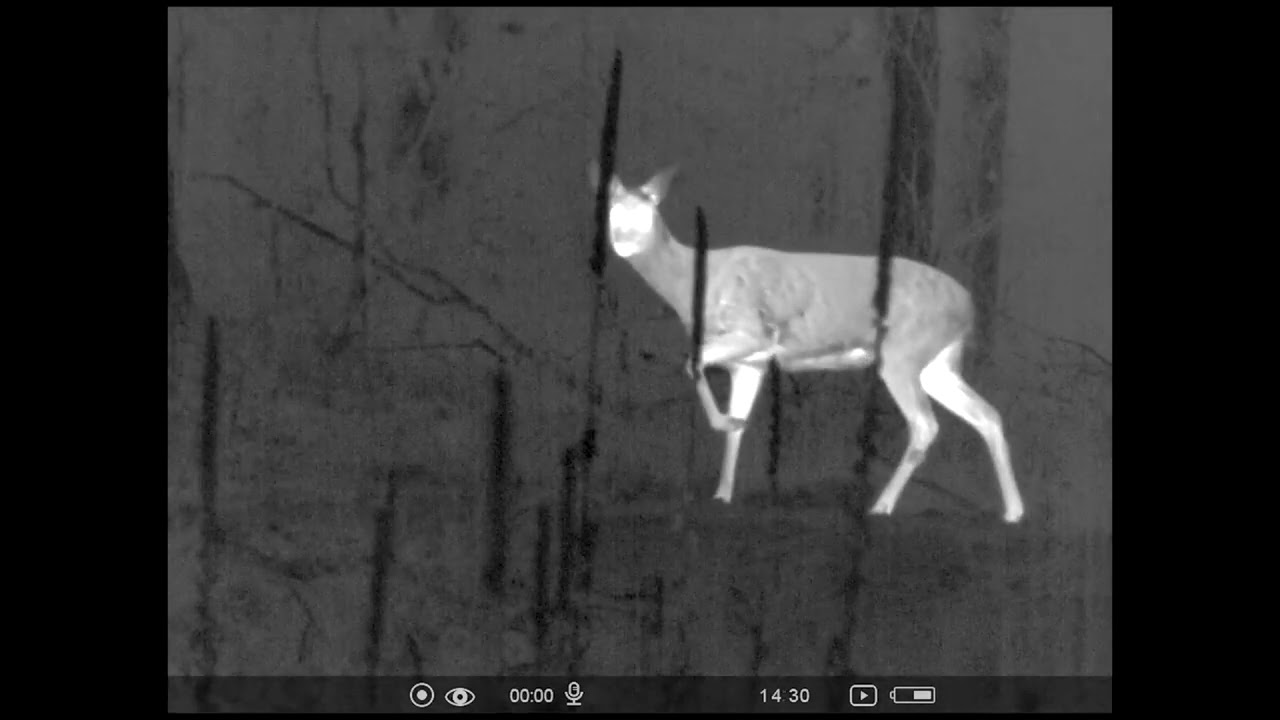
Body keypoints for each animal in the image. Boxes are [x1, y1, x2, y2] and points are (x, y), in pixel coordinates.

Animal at [589, 162, 1025, 524]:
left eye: (647, 211)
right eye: (612, 211)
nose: (623, 241)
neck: (691, 284)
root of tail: (968, 305)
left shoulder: (752, 331)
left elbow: (691, 363)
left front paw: (725, 425)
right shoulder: (750, 361)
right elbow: (738, 425)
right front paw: (722, 494)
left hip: (903, 352)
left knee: (925, 424)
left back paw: (882, 505)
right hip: (937, 362)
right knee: (987, 414)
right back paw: (1014, 511)